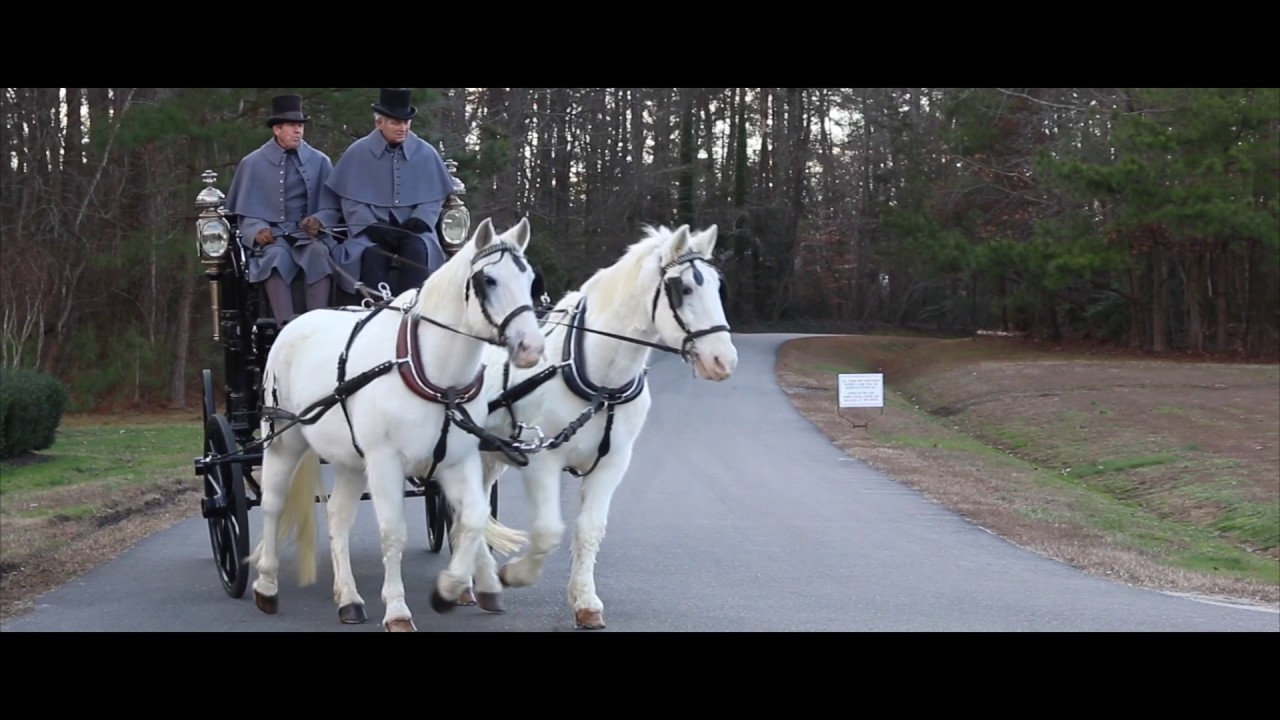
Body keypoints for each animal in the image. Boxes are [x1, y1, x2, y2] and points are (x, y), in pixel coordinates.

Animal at [247, 217, 545, 632]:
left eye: (530, 278)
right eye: (488, 280)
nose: (531, 347)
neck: (432, 373)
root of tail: (291, 324)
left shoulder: (457, 461)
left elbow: (473, 518)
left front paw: (451, 589)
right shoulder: (385, 461)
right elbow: (393, 533)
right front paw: (398, 610)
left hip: (350, 461)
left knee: (338, 517)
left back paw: (349, 599)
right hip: (283, 443)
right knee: (272, 505)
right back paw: (267, 586)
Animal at [466, 223, 738, 629]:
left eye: (718, 287)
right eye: (685, 288)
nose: (723, 360)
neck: (601, 383)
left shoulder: (612, 463)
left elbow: (589, 530)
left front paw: (586, 602)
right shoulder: (543, 460)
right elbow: (548, 531)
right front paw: (514, 574)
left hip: (492, 454)